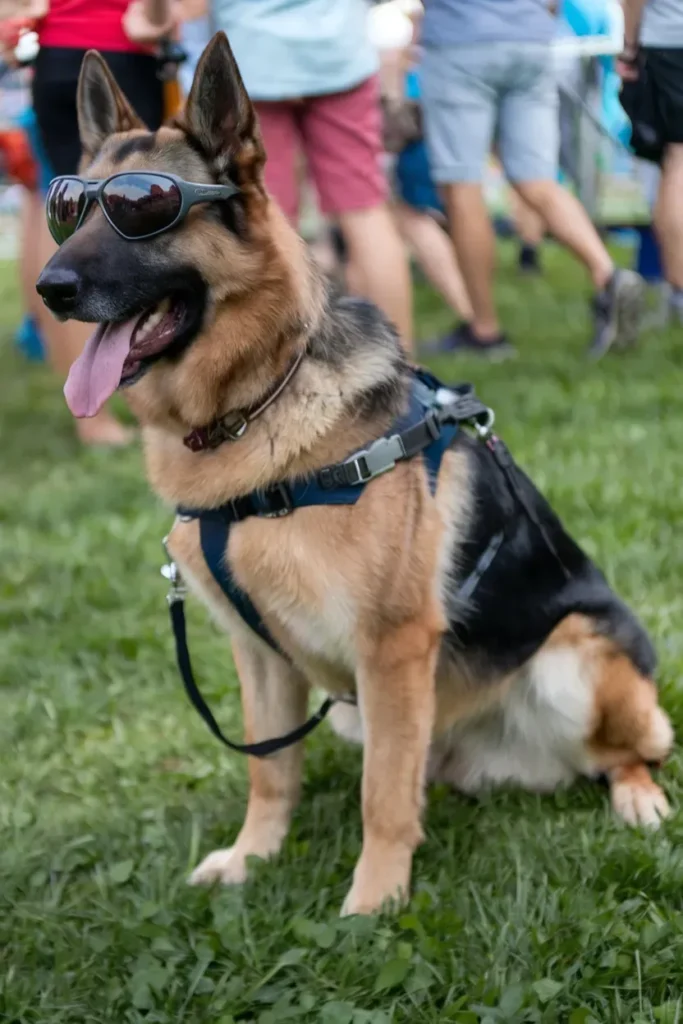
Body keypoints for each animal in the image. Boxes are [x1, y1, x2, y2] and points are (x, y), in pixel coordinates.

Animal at [37, 36, 671, 917]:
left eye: (142, 209)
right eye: (68, 209)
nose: (50, 288)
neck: (258, 403)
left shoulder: (390, 647)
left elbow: (380, 795)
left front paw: (373, 901)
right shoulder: (258, 654)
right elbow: (270, 772)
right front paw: (251, 858)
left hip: (575, 658)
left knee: (625, 752)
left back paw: (638, 797)